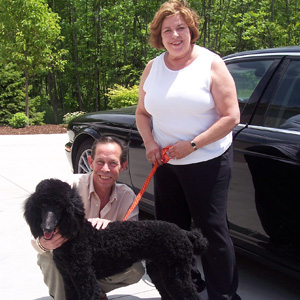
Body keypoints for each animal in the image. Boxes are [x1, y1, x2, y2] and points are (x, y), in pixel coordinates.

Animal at [24, 179, 206, 298]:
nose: (47, 228)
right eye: (42, 205)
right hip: (161, 271)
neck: (75, 235)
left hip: (177, 274)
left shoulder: (84, 277)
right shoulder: (68, 278)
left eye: (59, 205)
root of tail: (184, 233)